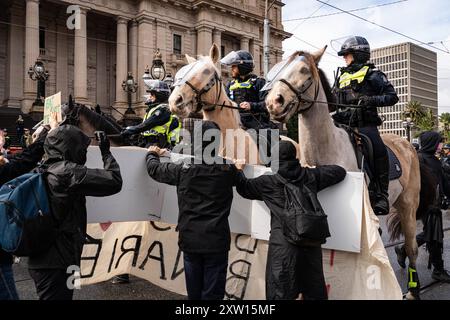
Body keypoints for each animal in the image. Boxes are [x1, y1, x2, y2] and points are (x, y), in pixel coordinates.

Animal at [264, 47, 422, 300]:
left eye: (304, 70)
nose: (273, 103)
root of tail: (407, 144)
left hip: (408, 203)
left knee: (412, 247)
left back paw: (413, 290)